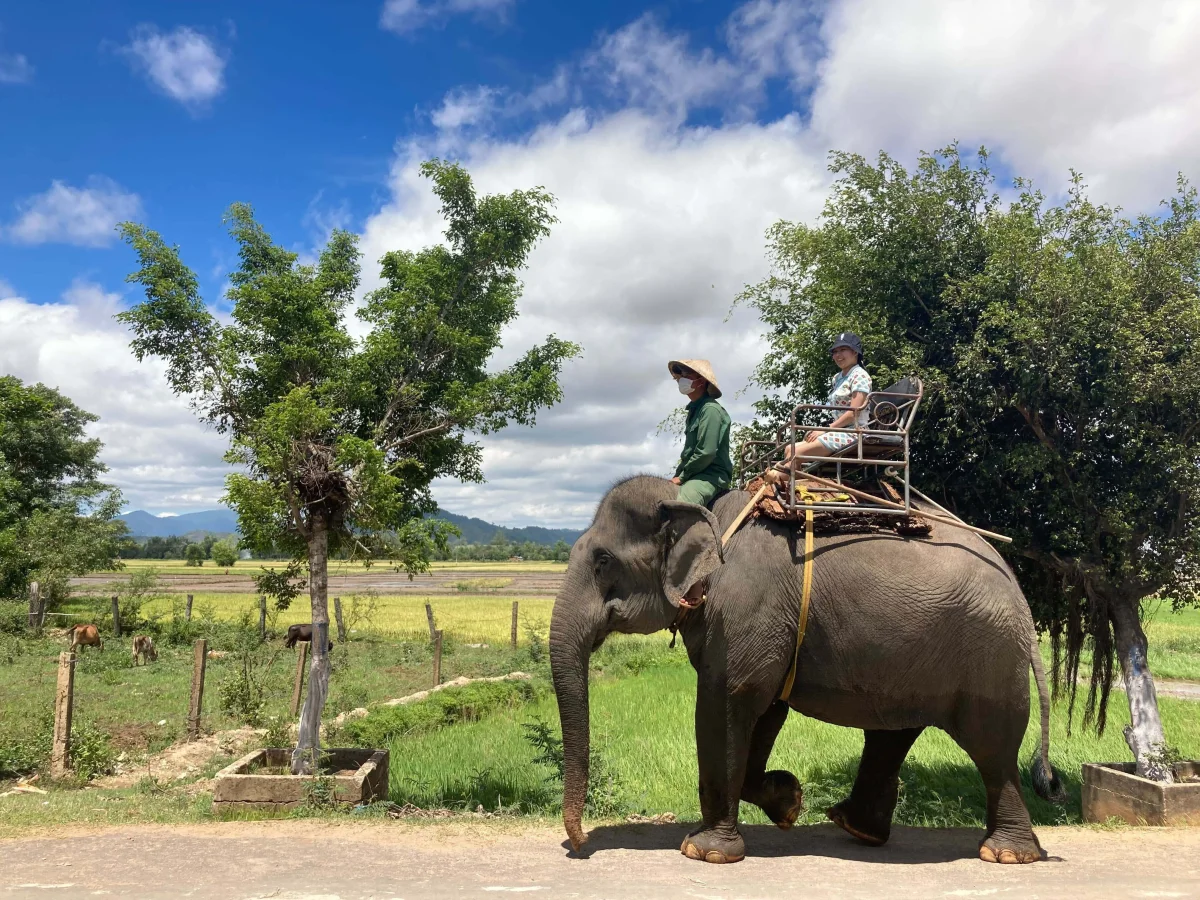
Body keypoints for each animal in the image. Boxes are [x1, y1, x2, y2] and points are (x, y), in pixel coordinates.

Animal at [549, 475, 1063, 865]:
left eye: (602, 561)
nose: (579, 844)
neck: (703, 509)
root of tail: (1018, 594)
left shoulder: (744, 612)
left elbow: (727, 701)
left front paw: (705, 852)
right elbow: (765, 709)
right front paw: (789, 803)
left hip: (987, 656)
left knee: (992, 747)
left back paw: (1006, 855)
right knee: (893, 733)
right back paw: (858, 829)